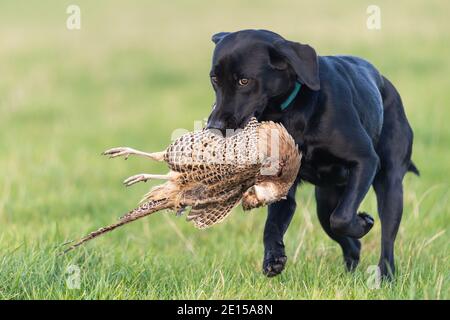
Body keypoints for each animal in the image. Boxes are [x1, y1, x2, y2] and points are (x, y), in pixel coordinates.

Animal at [205, 30, 418, 280]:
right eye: (214, 79)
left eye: (244, 81)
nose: (213, 126)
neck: (290, 111)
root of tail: (385, 82)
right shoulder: (282, 186)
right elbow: (272, 226)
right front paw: (273, 258)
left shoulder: (365, 160)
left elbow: (342, 218)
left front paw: (363, 223)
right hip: (325, 201)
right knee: (346, 238)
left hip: (390, 185)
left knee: (385, 237)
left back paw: (385, 275)